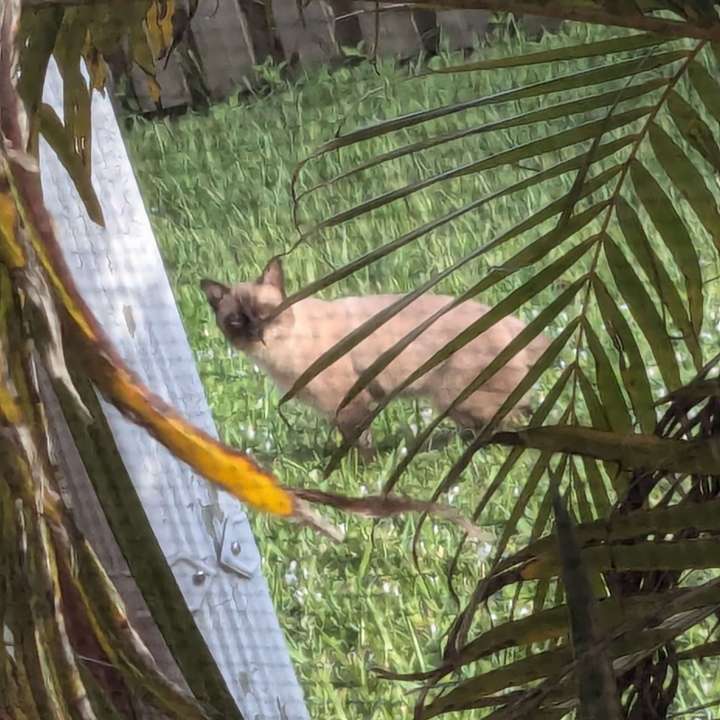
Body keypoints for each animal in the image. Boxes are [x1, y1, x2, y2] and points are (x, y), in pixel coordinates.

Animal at [200, 258, 548, 458]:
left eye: (265, 312)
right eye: (236, 321)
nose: (256, 331)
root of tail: (513, 320)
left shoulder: (348, 404)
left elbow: (359, 444)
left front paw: (357, 470)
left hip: (457, 397)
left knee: (515, 416)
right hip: (456, 402)